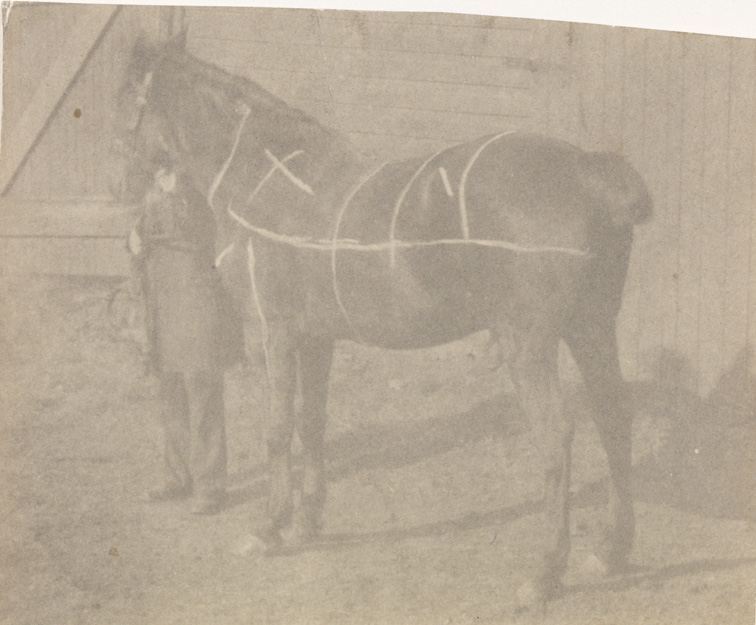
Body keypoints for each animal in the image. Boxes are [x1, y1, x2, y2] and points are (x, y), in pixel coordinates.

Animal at [118, 32, 652, 609]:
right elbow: (310, 423)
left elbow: (277, 430)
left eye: (125, 102)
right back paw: (611, 552)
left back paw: (545, 572)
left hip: (528, 343)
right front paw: (306, 523)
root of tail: (587, 171)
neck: (265, 178)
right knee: (614, 419)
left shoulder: (272, 333)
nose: (128, 190)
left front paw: (268, 529)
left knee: (556, 437)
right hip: (592, 328)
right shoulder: (316, 337)